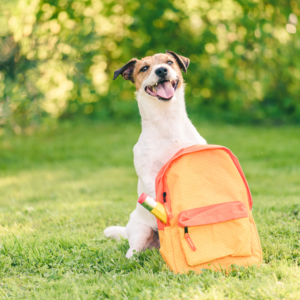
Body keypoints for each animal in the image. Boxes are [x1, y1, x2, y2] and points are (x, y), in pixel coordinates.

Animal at [103, 51, 206, 258]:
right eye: (144, 68)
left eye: (169, 62)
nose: (161, 70)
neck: (166, 120)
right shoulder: (148, 173)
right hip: (141, 230)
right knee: (132, 251)